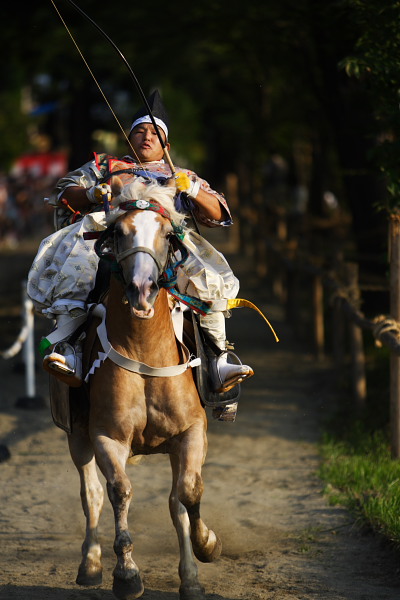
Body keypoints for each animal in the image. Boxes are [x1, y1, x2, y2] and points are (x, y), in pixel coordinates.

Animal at [66, 178, 222, 600]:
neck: (144, 352)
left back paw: (190, 575)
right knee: (91, 495)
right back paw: (90, 565)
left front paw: (205, 547)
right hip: (76, 435)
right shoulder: (107, 436)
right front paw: (126, 574)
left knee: (175, 501)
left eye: (168, 234)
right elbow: (118, 491)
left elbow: (187, 494)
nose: (141, 287)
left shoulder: (192, 432)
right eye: (119, 232)